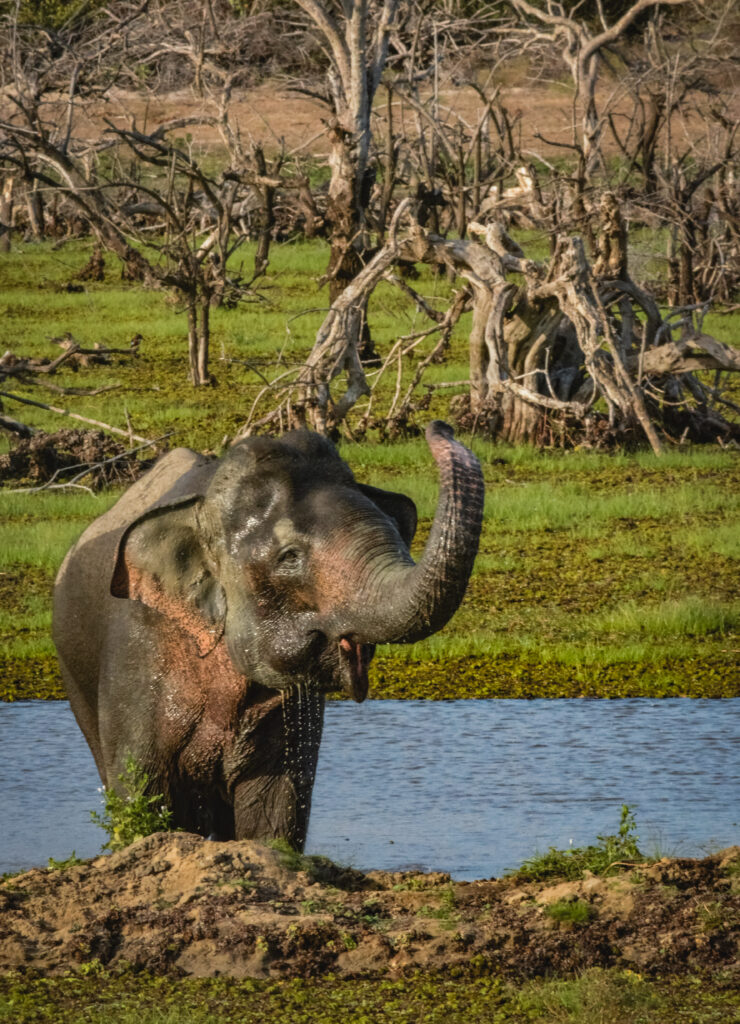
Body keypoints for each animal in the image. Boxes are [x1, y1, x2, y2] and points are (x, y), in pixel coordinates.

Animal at [50, 421, 481, 847]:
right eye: (289, 557)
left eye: (395, 530)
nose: (440, 427)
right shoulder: (138, 650)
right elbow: (142, 790)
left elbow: (275, 807)